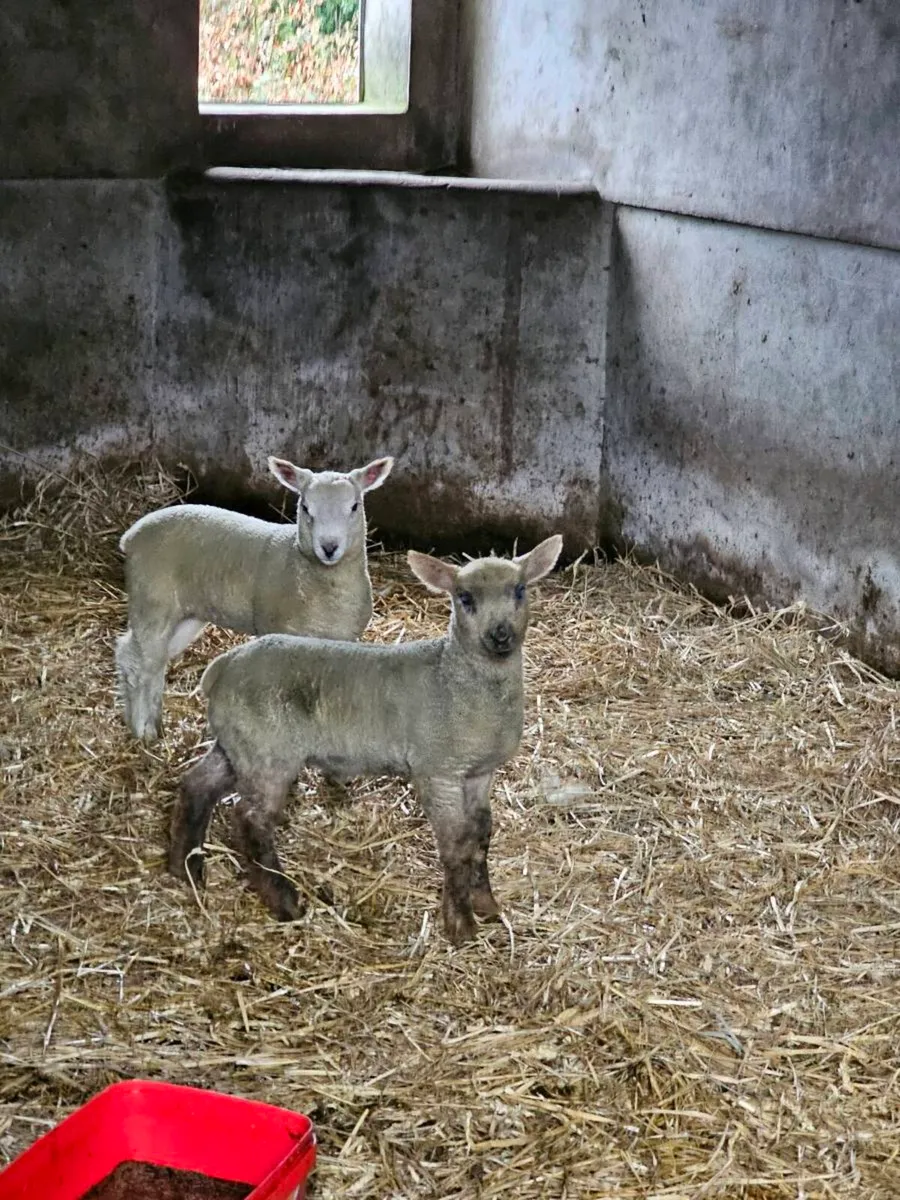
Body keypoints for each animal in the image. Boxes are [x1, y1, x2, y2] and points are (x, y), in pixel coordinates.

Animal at [115, 455, 394, 744]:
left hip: (185, 616)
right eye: (306, 508)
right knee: (139, 661)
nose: (329, 548)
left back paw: (147, 722)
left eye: (354, 506)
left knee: (147, 659)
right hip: (152, 601)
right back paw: (143, 729)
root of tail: (132, 535)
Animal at [168, 533, 563, 945]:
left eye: (519, 590)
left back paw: (185, 868)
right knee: (250, 819)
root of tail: (223, 666)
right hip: (269, 752)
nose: (500, 635)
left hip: (239, 743)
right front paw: (461, 924)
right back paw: (284, 901)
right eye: (465, 598)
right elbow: (456, 845)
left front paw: (486, 903)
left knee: (198, 784)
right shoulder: (437, 770)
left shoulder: (479, 772)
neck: (454, 678)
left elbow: (481, 836)